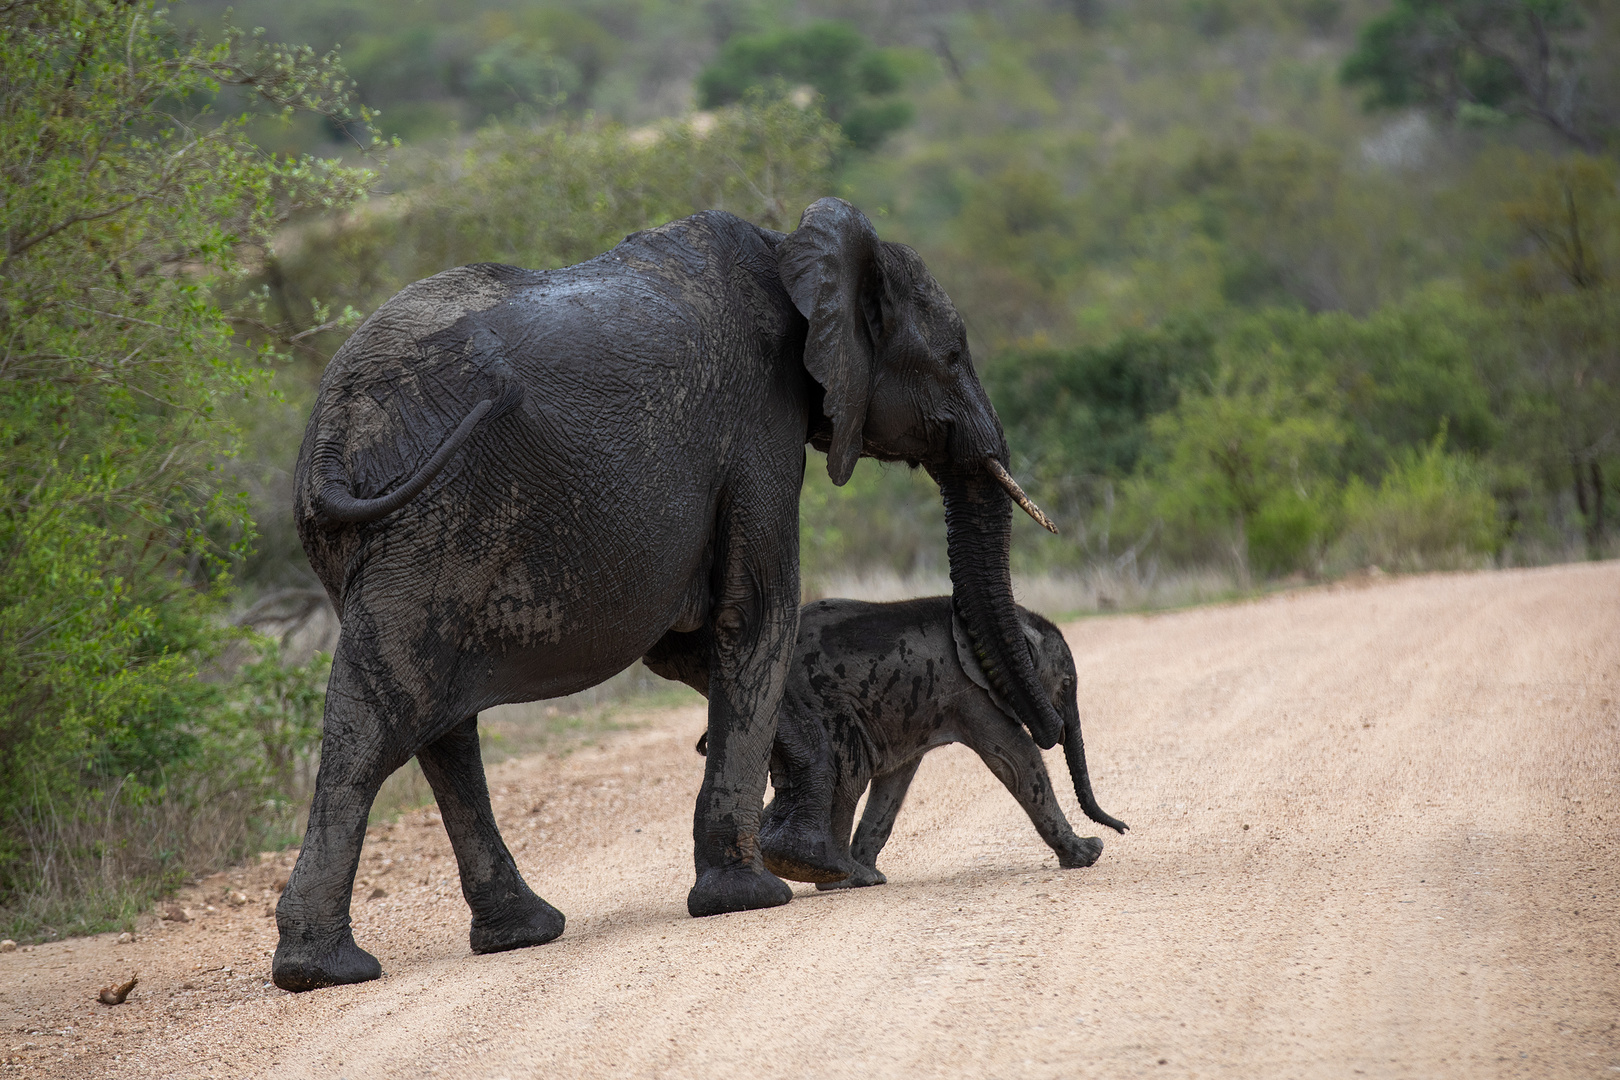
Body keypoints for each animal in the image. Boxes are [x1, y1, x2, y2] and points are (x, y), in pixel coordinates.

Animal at [272, 198, 1056, 990]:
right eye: (951, 357)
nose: (1050, 729)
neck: (792, 252)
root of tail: (333, 431)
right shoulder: (757, 423)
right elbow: (756, 613)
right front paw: (758, 891)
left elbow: (695, 644)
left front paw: (810, 862)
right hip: (440, 525)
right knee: (385, 716)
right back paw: (327, 971)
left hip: (370, 539)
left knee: (438, 725)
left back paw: (518, 934)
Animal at [657, 595, 1127, 893]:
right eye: (1066, 684)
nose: (1123, 828)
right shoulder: (969, 692)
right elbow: (1016, 758)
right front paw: (1089, 854)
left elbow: (896, 786)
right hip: (812, 702)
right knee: (847, 774)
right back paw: (841, 879)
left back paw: (843, 874)